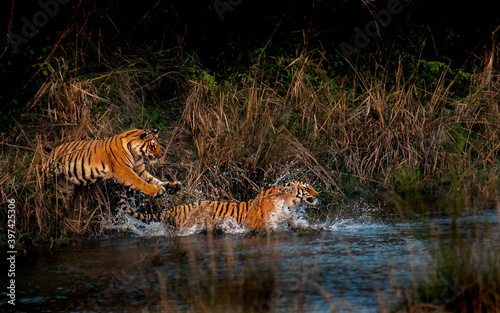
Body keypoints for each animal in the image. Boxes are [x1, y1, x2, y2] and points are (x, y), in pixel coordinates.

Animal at [45, 128, 182, 196]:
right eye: (153, 146)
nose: (160, 155)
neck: (137, 153)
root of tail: (51, 152)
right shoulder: (124, 171)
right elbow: (141, 182)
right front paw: (156, 191)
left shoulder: (139, 169)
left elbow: (154, 179)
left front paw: (173, 186)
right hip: (48, 173)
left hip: (65, 187)